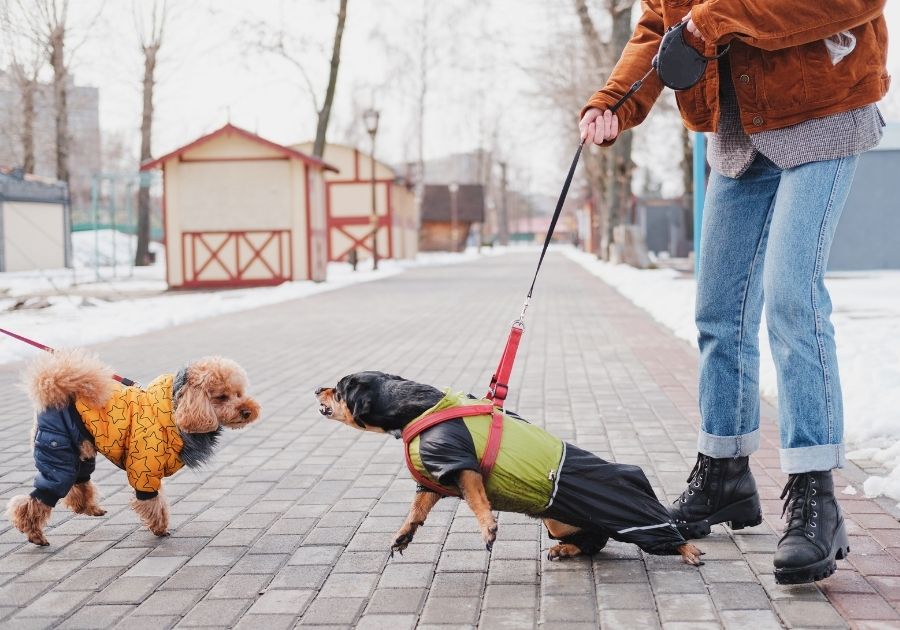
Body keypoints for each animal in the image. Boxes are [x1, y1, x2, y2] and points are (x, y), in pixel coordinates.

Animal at [316, 372, 704, 564]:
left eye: (338, 389)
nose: (317, 389)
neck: (417, 408)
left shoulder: (461, 465)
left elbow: (477, 501)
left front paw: (488, 529)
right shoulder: (435, 477)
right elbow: (416, 510)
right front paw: (403, 535)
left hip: (635, 517)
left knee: (667, 536)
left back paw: (688, 551)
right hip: (559, 521)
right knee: (594, 542)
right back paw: (565, 550)